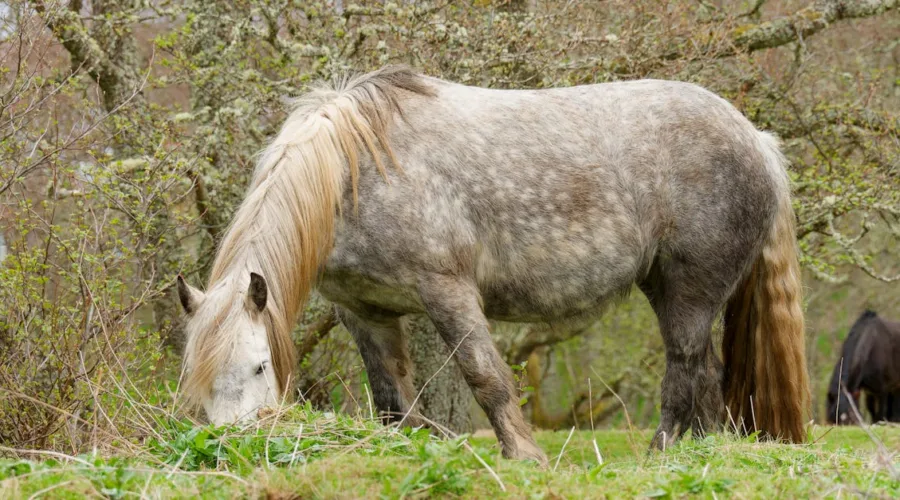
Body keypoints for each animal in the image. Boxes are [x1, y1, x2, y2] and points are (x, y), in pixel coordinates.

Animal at [175, 66, 810, 464]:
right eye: (197, 375)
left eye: (261, 366)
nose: (231, 449)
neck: (353, 174)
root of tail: (755, 139)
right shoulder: (365, 312)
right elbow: (390, 398)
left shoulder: (447, 291)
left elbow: (485, 375)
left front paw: (523, 457)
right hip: (669, 289)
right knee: (706, 375)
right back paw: (702, 454)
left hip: (689, 292)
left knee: (683, 370)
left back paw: (659, 456)